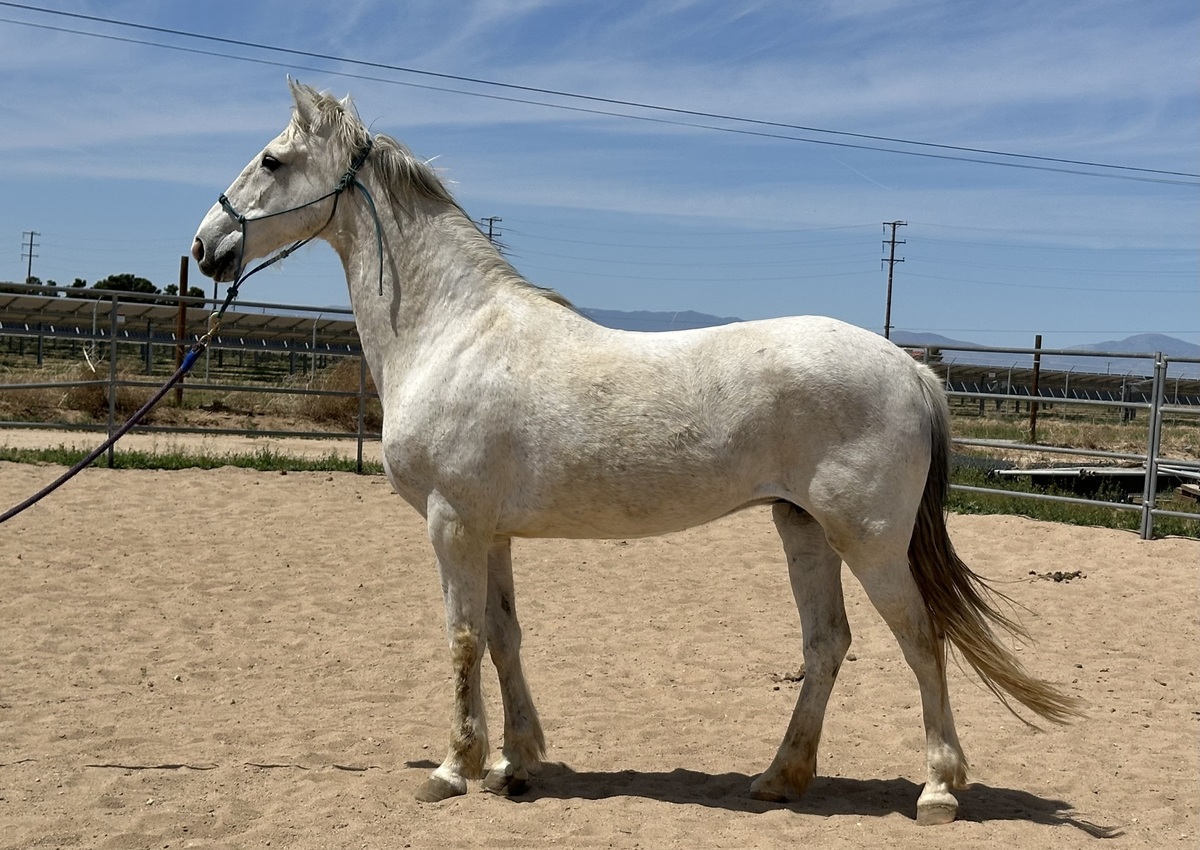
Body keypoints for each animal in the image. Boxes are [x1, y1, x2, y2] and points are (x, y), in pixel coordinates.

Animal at [192, 80, 1080, 825]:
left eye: (272, 160)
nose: (206, 246)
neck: (452, 332)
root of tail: (910, 367)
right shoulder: (493, 533)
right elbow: (506, 636)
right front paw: (517, 764)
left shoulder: (452, 526)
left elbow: (462, 638)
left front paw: (453, 769)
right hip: (801, 529)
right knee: (827, 645)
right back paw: (779, 778)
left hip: (871, 542)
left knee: (920, 641)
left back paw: (937, 791)